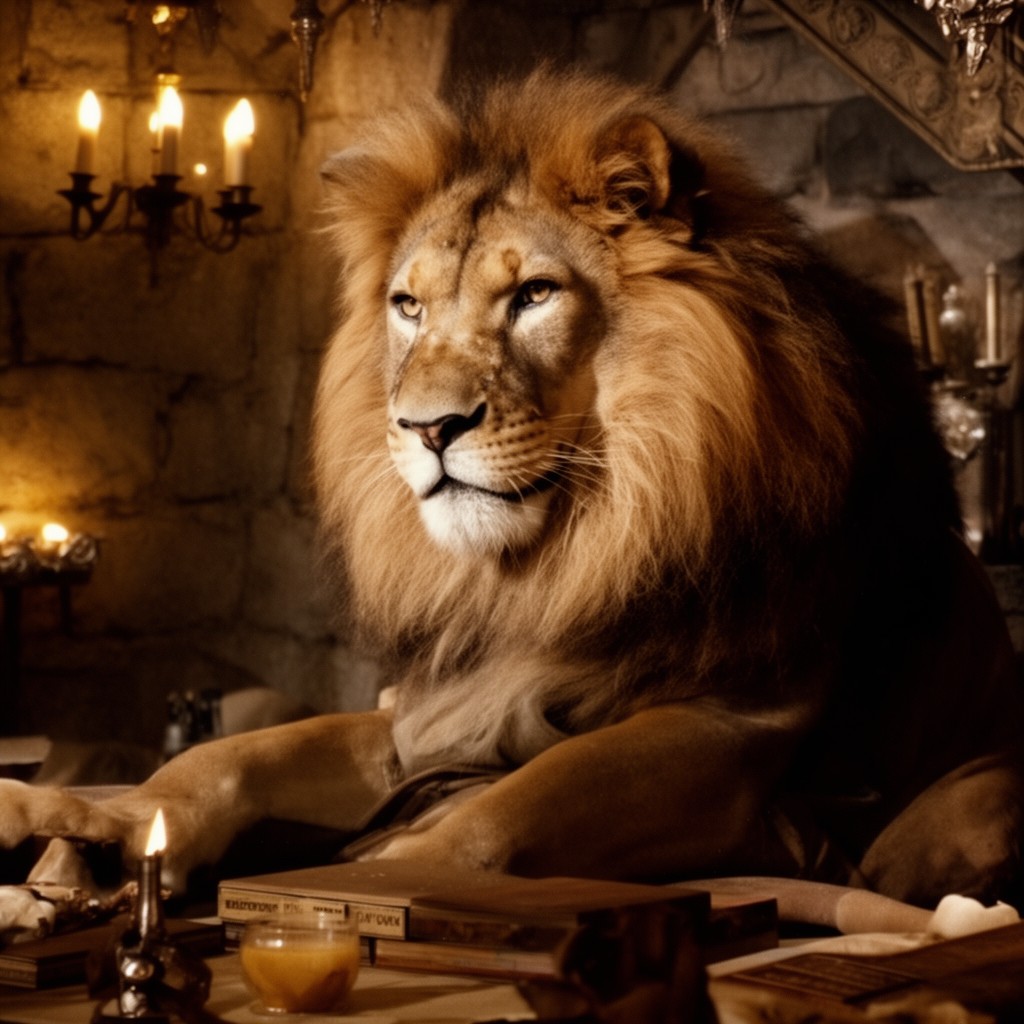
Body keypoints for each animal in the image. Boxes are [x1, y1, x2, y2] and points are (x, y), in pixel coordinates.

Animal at [2, 69, 1022, 912]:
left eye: (534, 295)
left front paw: (380, 871)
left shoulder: (731, 726)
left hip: (968, 804)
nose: (428, 428)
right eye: (407, 306)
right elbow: (233, 754)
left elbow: (515, 808)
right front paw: (102, 828)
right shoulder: (427, 721)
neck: (548, 567)